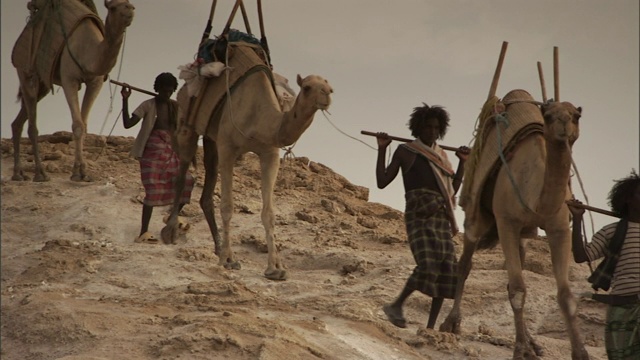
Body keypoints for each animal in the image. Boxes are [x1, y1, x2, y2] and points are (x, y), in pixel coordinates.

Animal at [10, 0, 135, 181]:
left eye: (130, 5)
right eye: (113, 8)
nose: (130, 10)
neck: (88, 51)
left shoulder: (95, 82)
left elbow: (84, 124)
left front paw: (83, 172)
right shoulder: (69, 79)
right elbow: (77, 125)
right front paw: (78, 172)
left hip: (43, 85)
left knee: (17, 122)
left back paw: (18, 173)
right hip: (25, 72)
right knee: (32, 123)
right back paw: (40, 174)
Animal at [162, 69, 332, 280]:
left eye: (329, 86)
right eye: (307, 87)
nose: (327, 95)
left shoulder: (269, 153)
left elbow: (269, 213)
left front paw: (275, 268)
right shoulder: (228, 147)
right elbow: (227, 206)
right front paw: (227, 260)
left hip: (211, 137)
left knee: (207, 184)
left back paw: (218, 247)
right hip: (188, 120)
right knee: (183, 168)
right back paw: (170, 231)